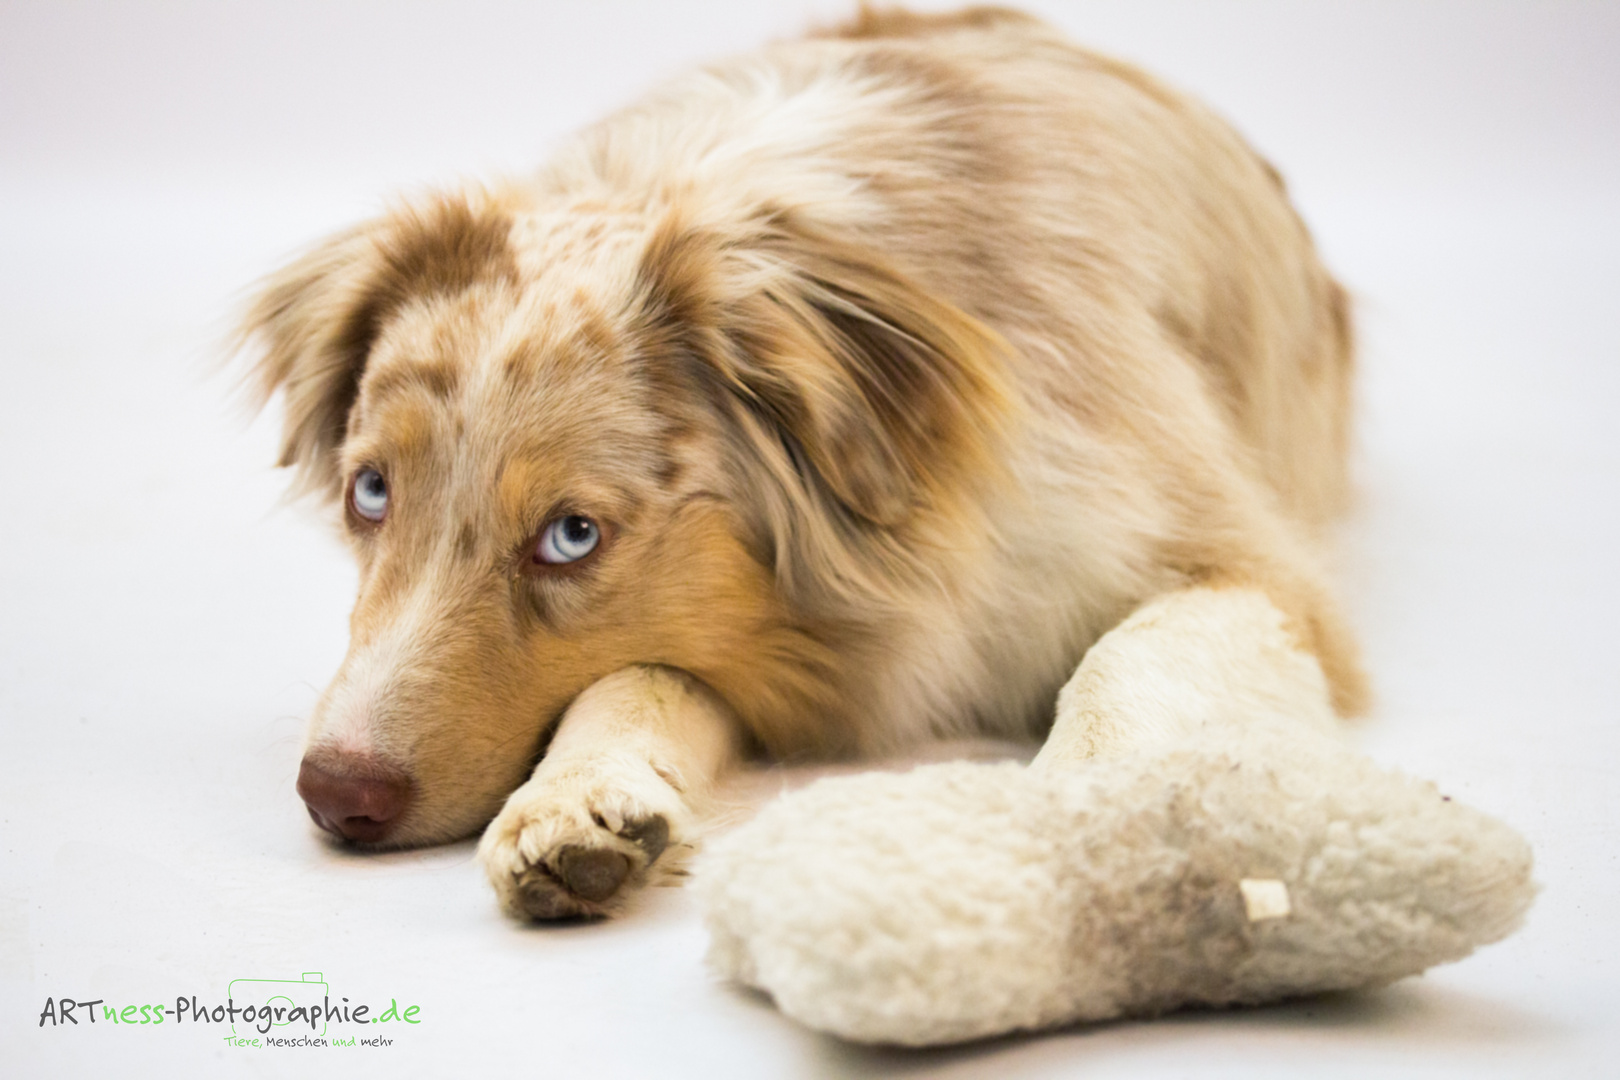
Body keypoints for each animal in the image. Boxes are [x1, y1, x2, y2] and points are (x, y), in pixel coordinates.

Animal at [243, 6, 1367, 919]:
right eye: (370, 492)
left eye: (570, 536)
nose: (337, 795)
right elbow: (647, 668)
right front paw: (578, 801)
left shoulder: (1252, 568)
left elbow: (1125, 660)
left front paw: (1075, 817)